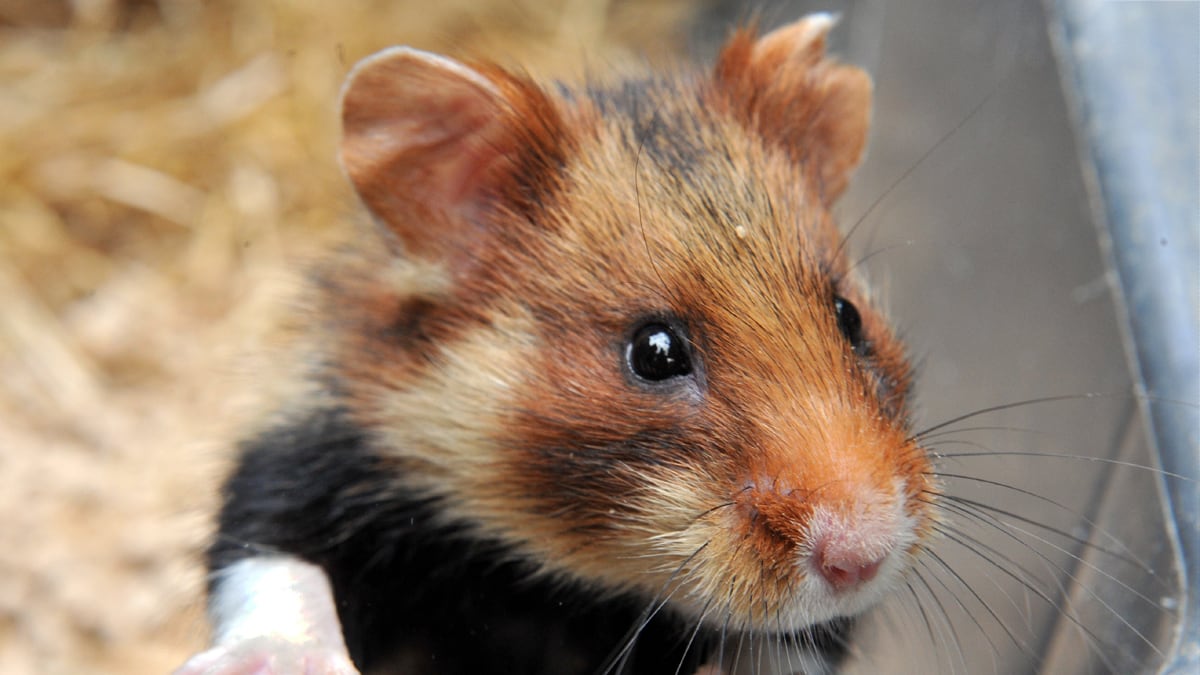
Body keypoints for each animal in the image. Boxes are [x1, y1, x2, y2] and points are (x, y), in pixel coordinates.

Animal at [177, 14, 936, 675]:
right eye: (654, 352)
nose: (864, 558)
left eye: (849, 316)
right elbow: (275, 564)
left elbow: (791, 644)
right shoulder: (305, 458)